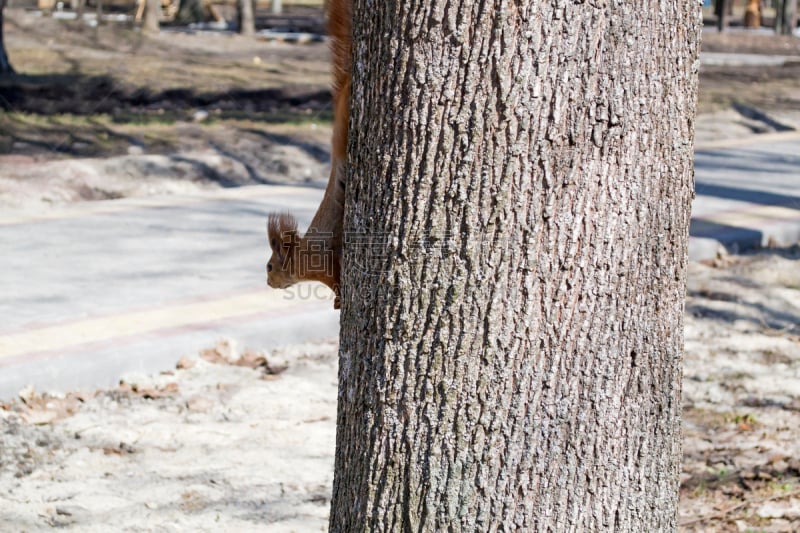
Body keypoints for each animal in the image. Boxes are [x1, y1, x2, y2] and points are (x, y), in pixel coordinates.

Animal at [266, 0, 350, 308]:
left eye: (269, 266)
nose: (267, 282)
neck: (301, 257)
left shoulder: (324, 261)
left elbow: (336, 277)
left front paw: (338, 300)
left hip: (343, 132)